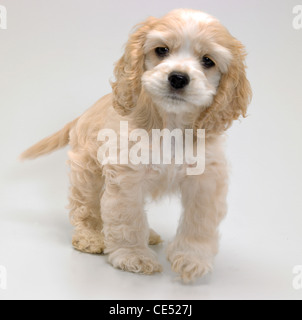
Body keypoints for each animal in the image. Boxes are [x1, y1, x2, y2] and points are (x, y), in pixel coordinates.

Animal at [21, 8, 251, 282]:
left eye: (208, 61)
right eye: (161, 50)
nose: (178, 78)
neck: (170, 123)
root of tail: (84, 114)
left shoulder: (206, 180)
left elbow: (199, 221)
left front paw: (192, 259)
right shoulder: (127, 176)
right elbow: (128, 217)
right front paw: (134, 256)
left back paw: (149, 235)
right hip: (88, 172)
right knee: (86, 208)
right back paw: (91, 237)